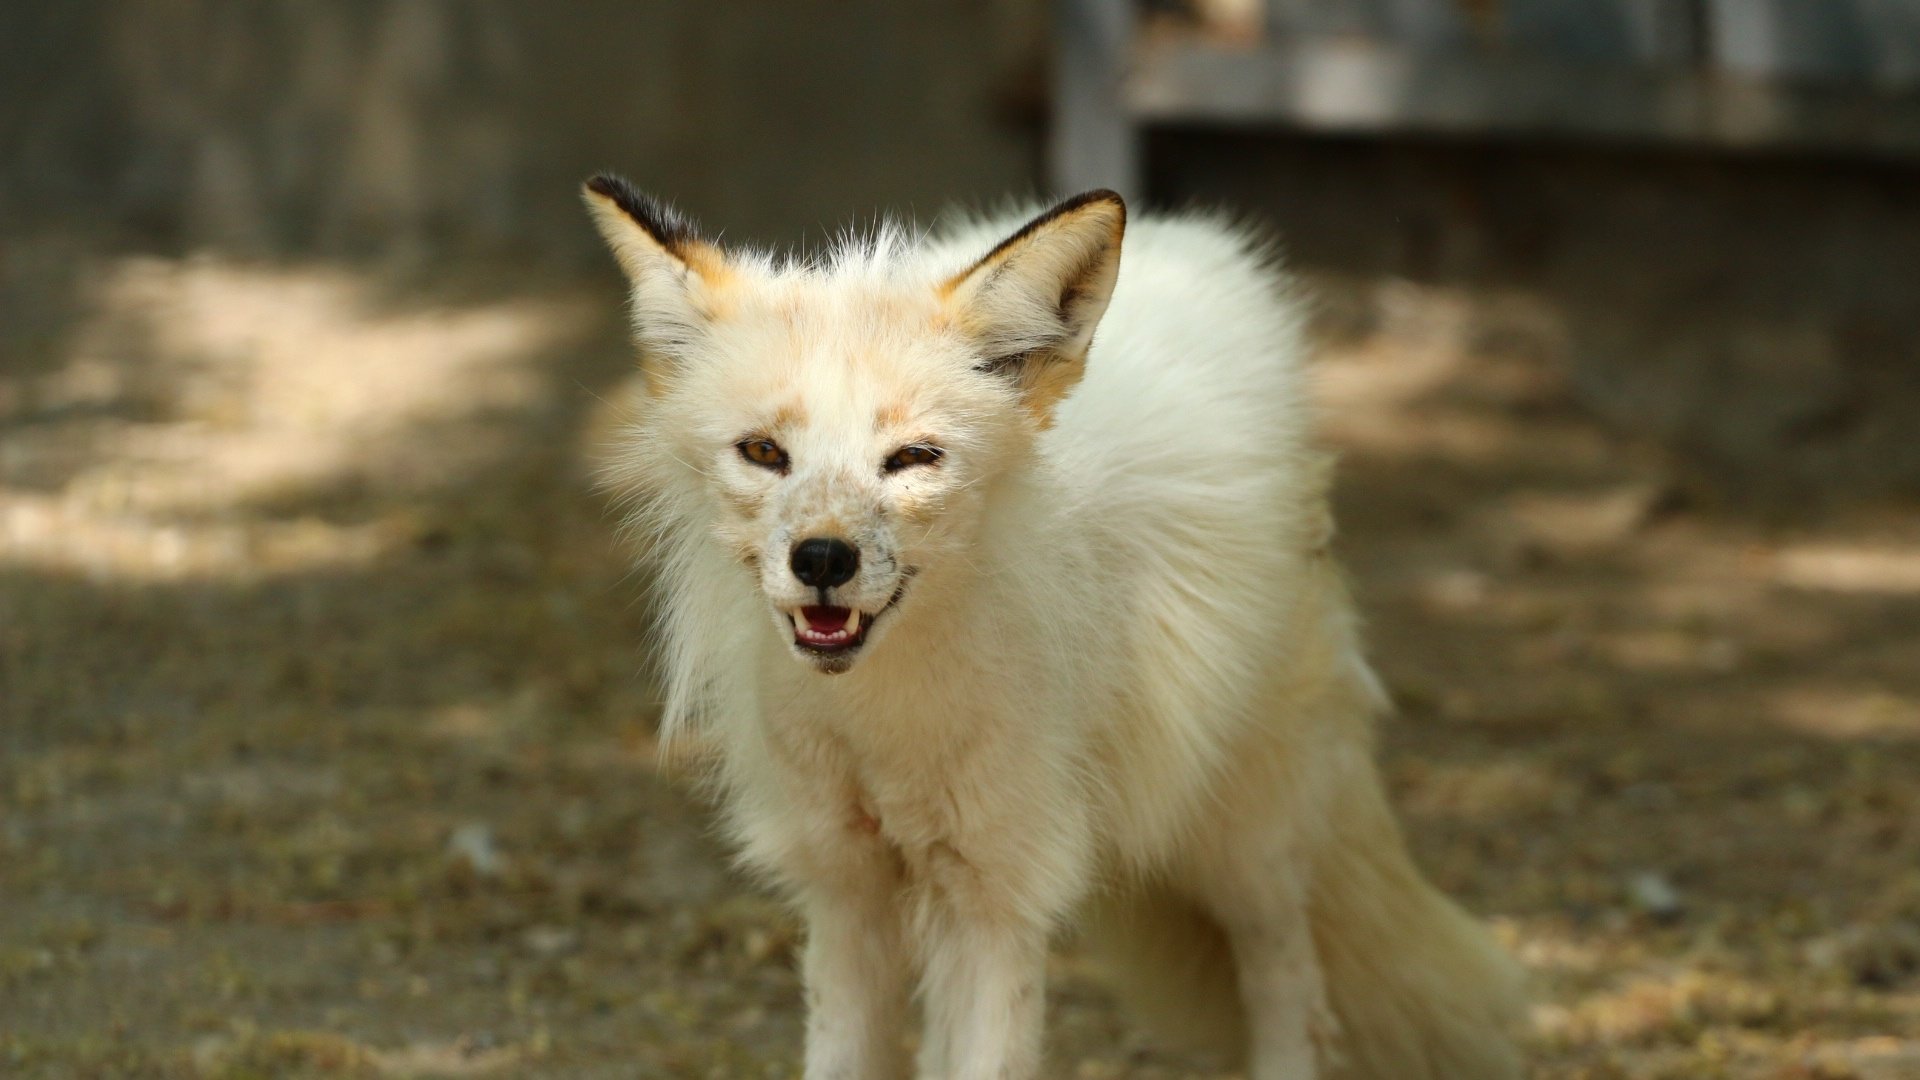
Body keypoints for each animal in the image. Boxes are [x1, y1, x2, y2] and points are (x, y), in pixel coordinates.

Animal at [576, 176, 1520, 1076]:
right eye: (765, 453)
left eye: (914, 459)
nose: (822, 560)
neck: (889, 729)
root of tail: (1194, 241)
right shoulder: (846, 886)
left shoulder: (1000, 890)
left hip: (1242, 840)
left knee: (1294, 992)